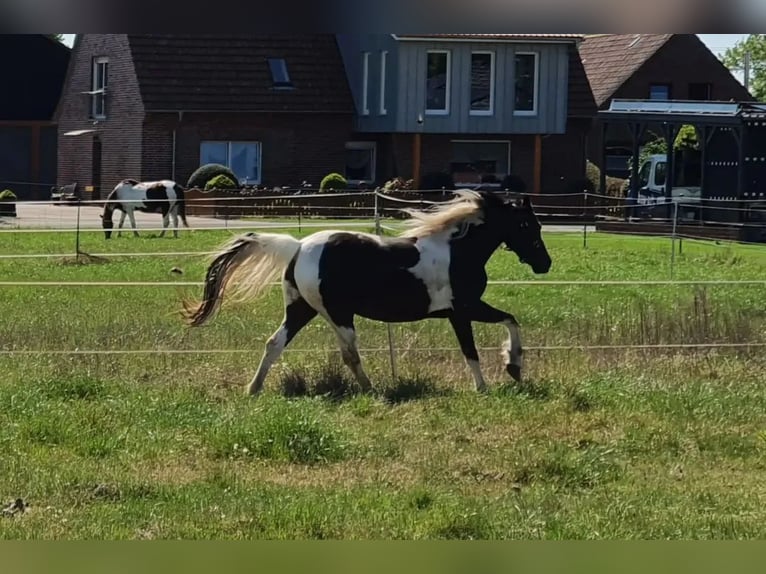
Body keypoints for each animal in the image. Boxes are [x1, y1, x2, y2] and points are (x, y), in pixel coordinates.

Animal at [181, 190, 551, 395]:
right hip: (338, 314)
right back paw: (372, 389)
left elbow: (503, 325)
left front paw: (511, 370)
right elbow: (480, 343)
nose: (544, 263)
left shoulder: (462, 310)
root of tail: (298, 247)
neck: (457, 251)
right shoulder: (463, 309)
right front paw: (496, 378)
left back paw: (253, 389)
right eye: (527, 225)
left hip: (302, 309)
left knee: (275, 343)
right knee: (349, 355)